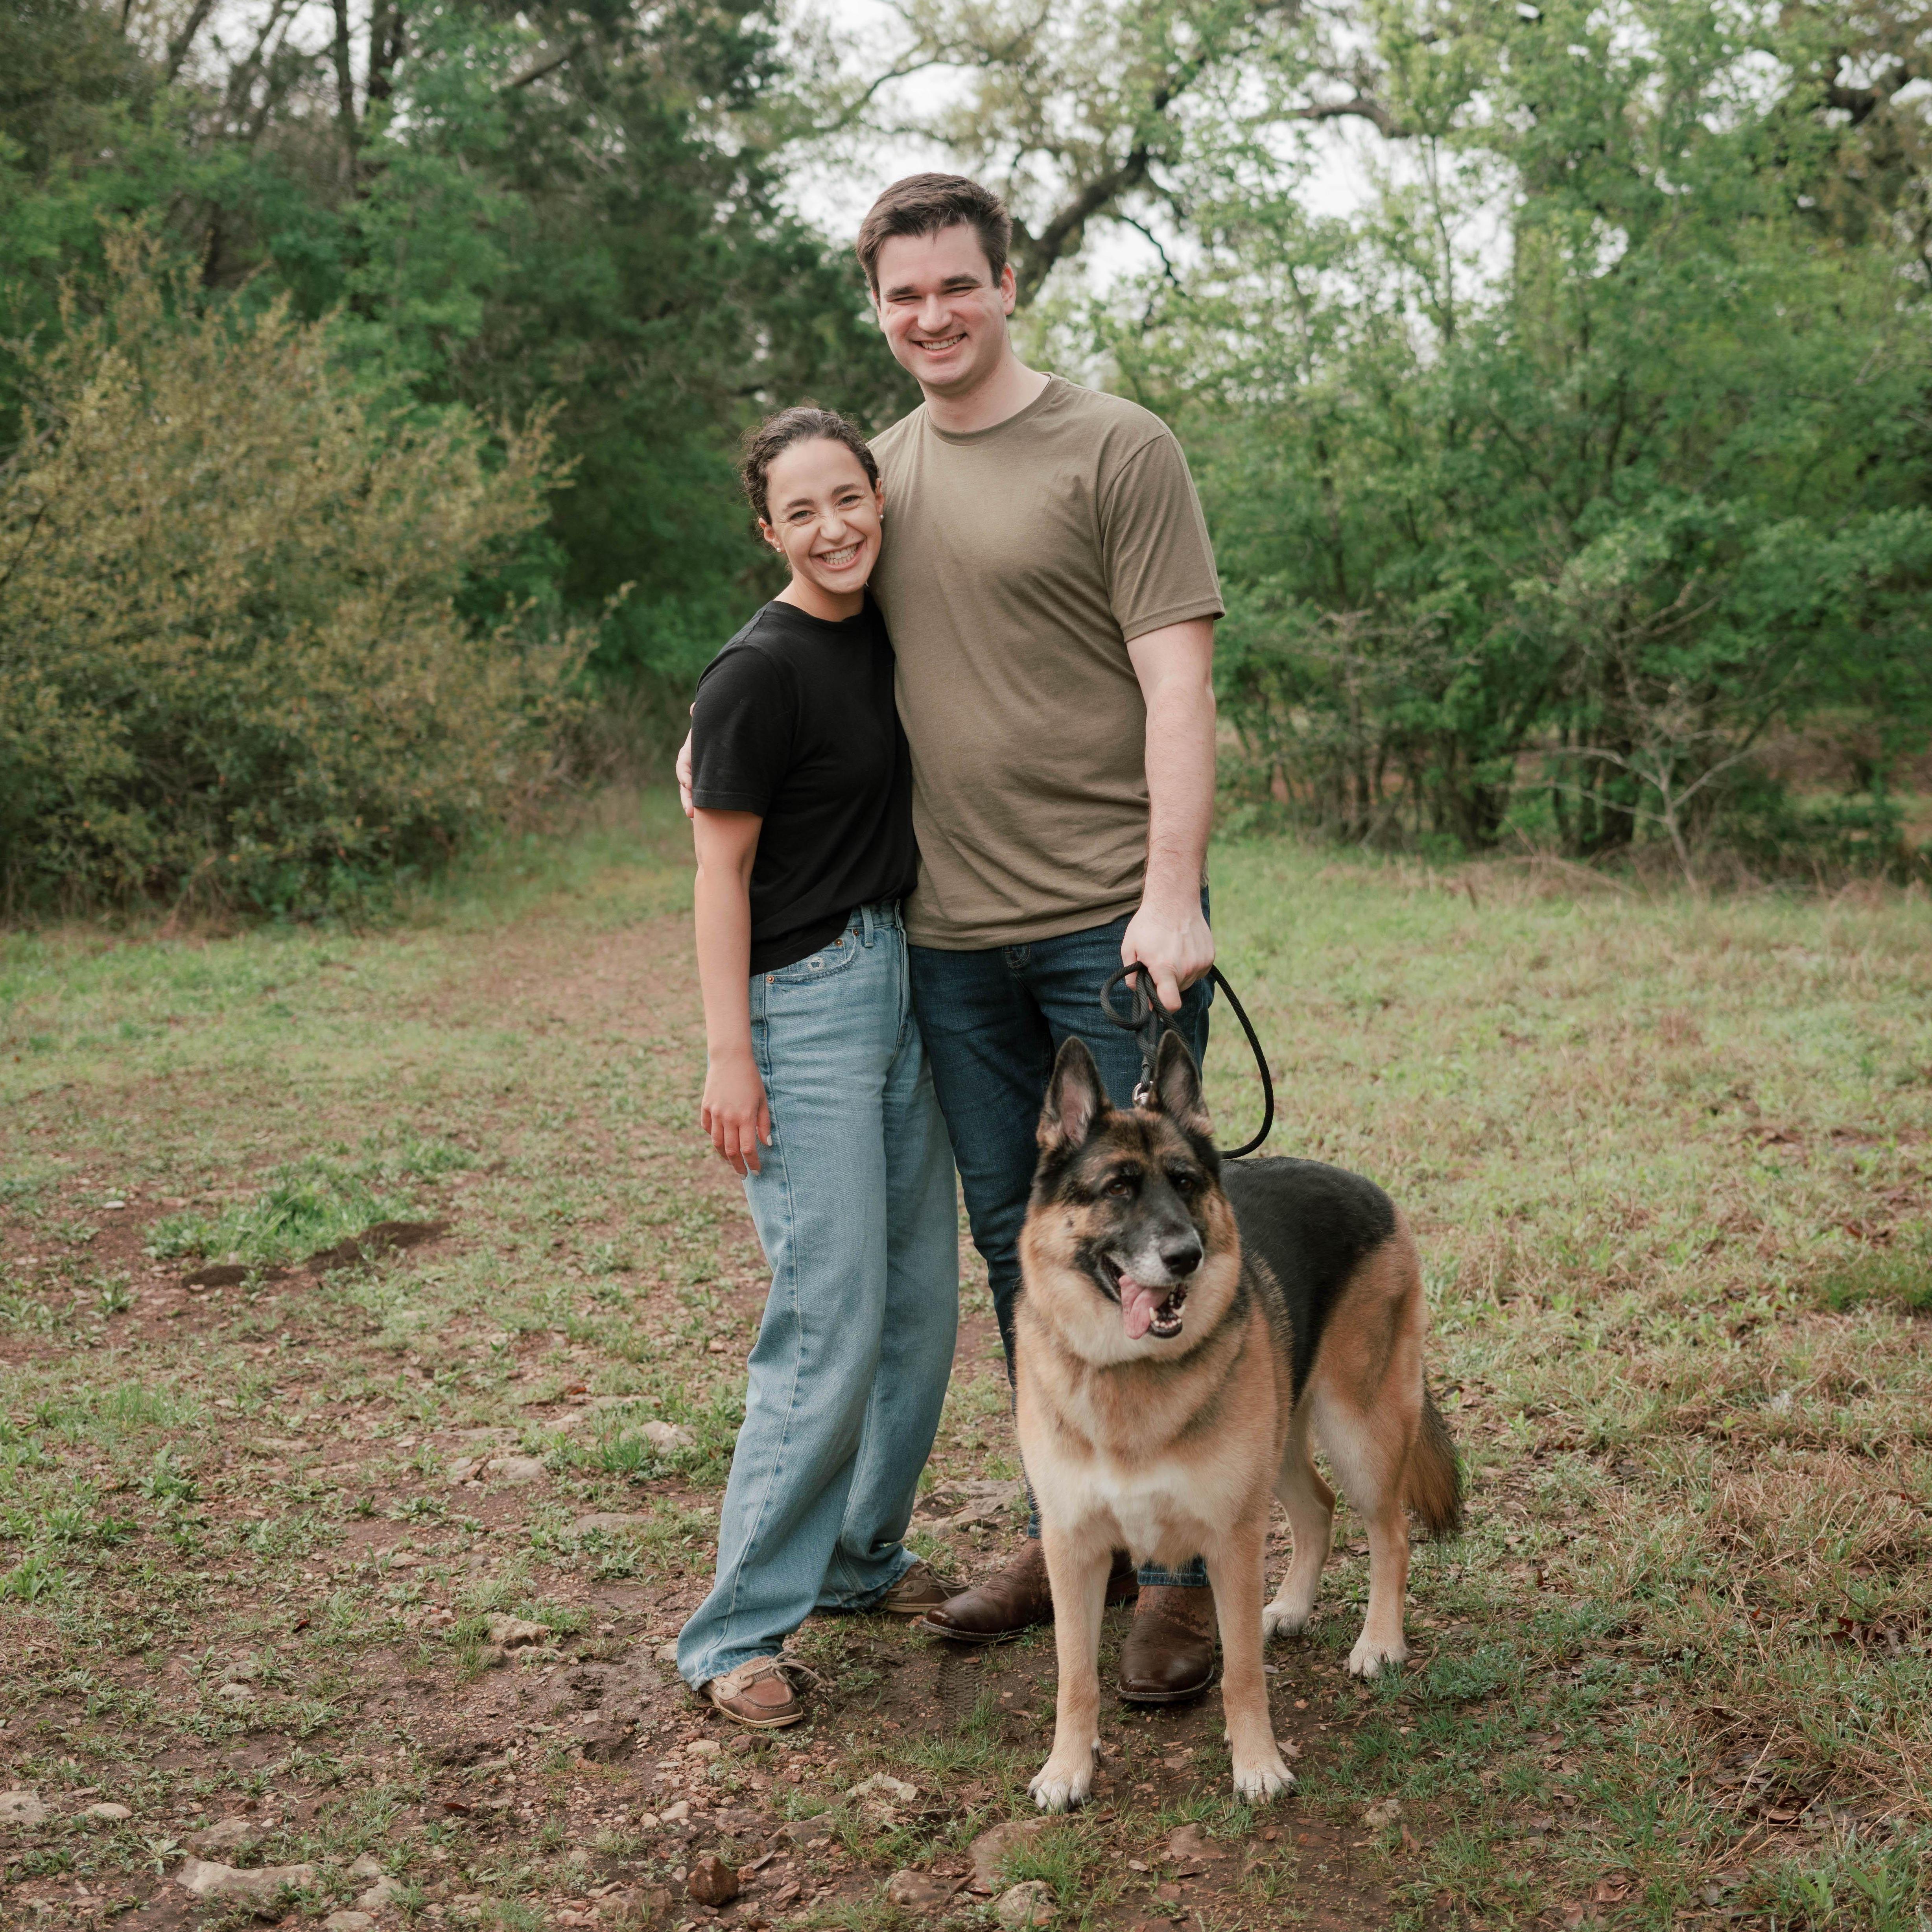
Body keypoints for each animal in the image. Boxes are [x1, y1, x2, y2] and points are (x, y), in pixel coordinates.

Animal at [1013, 1030, 1462, 1810]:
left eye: (1186, 1182)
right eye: (1118, 1188)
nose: (1185, 1256)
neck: (1128, 1371)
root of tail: (1365, 1186)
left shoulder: (1230, 1539)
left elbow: (1243, 1673)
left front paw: (1257, 1764)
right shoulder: (1072, 1549)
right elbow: (1075, 1676)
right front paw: (1067, 1768)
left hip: (1361, 1432)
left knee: (1390, 1532)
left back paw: (1380, 1641)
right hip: (1282, 1441)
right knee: (1317, 1507)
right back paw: (1291, 1606)